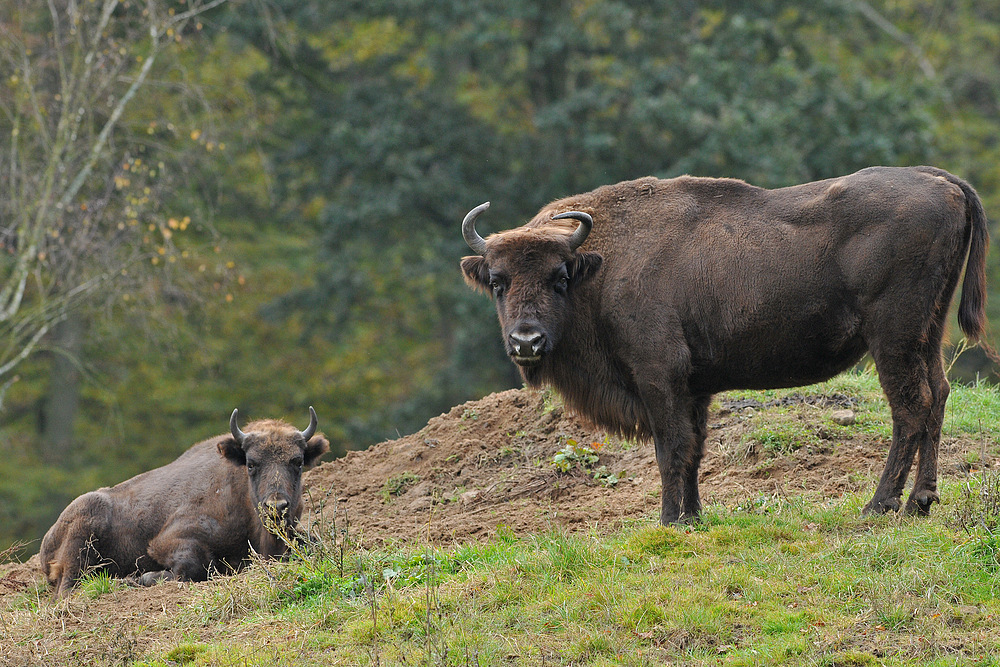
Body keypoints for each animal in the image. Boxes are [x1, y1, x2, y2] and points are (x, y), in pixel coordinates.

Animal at [40, 410, 328, 596]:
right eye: (251, 463)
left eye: (298, 461)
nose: (276, 506)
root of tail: (48, 540)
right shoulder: (169, 539)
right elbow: (192, 565)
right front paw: (143, 577)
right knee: (69, 589)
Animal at [462, 167, 992, 528]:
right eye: (497, 282)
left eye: (559, 278)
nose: (526, 341)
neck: (601, 266)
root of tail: (942, 181)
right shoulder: (694, 389)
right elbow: (694, 449)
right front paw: (693, 517)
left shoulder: (659, 378)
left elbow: (670, 448)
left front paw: (668, 521)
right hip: (927, 333)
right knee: (938, 395)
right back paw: (922, 501)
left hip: (893, 339)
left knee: (911, 407)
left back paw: (879, 505)